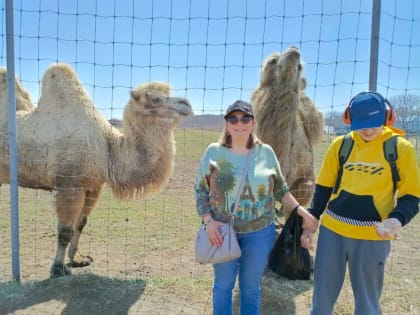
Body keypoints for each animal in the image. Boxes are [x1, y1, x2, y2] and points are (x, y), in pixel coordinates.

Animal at [0, 63, 194, 278]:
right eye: (154, 98)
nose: (186, 103)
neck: (107, 148)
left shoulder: (93, 185)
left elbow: (81, 222)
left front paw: (77, 258)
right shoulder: (69, 183)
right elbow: (65, 230)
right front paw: (58, 268)